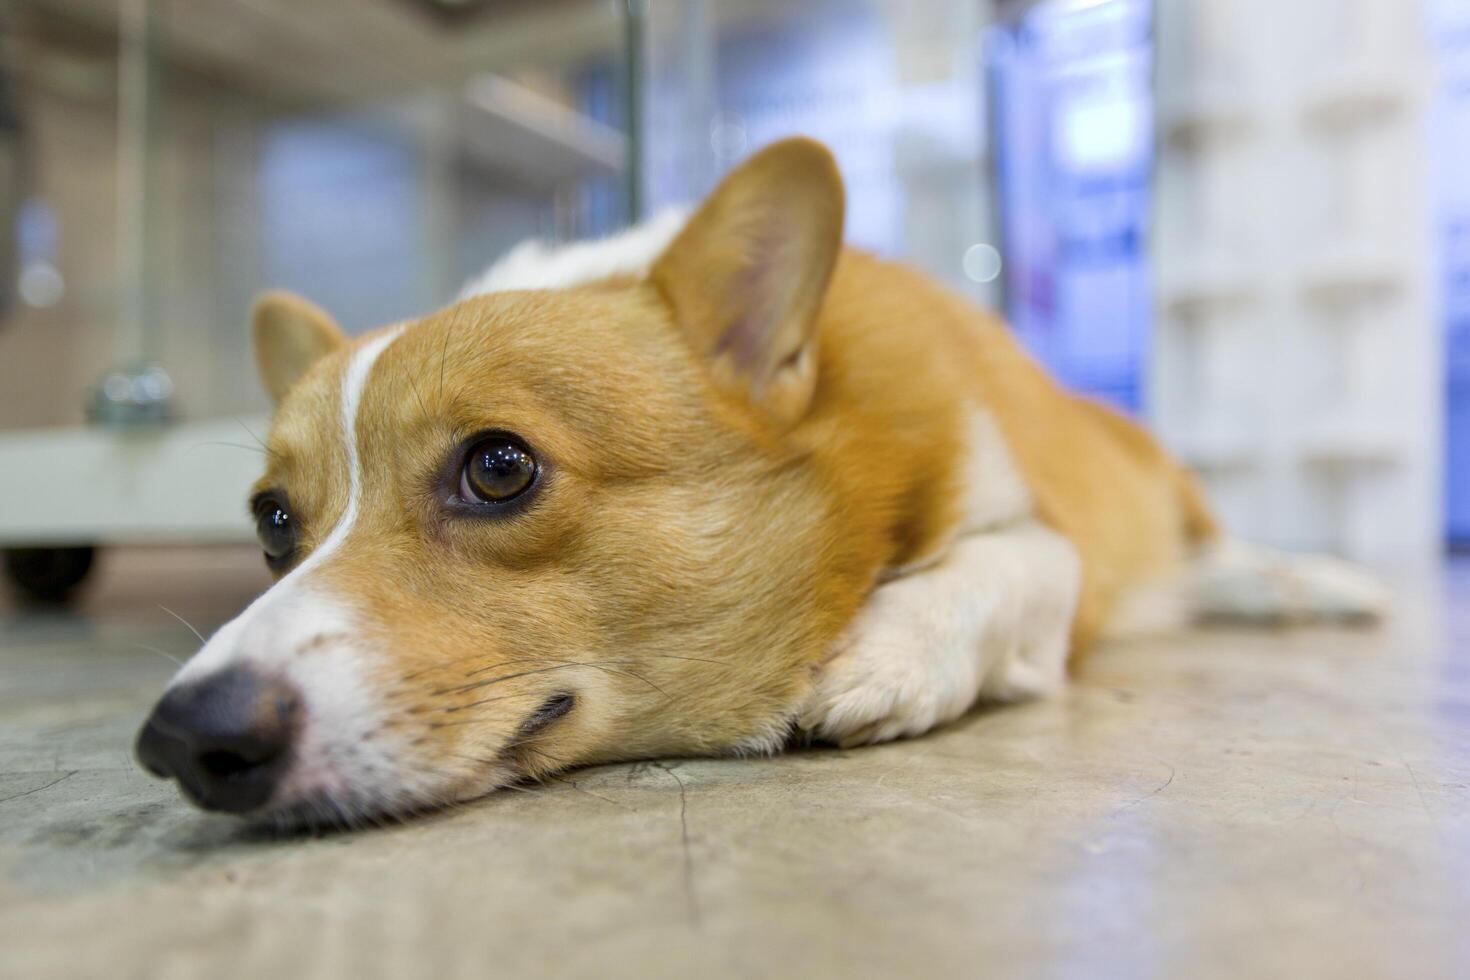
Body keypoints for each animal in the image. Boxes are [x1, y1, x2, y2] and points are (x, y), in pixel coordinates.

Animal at [132, 139, 1381, 828]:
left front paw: (884, 653)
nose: (188, 739)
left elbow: (1018, 564)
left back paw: (1314, 585)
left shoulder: (1036, 524)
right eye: (271, 520)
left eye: (498, 465)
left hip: (1167, 485)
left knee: (1221, 552)